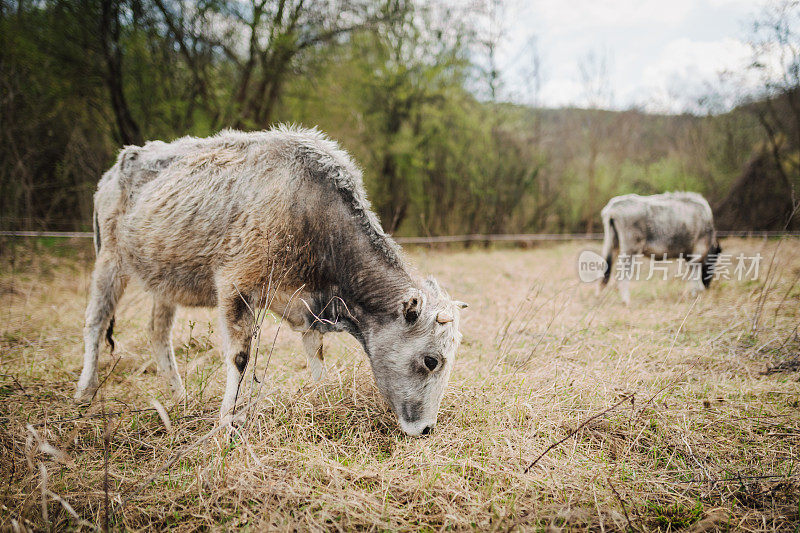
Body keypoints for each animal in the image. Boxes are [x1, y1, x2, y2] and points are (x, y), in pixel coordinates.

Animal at [73, 125, 468, 436]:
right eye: (431, 360)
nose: (427, 429)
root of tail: (120, 162)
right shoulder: (235, 284)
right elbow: (240, 357)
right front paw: (227, 422)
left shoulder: (307, 304)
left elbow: (316, 354)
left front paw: (322, 400)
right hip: (109, 259)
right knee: (95, 322)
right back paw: (85, 392)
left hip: (164, 277)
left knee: (157, 332)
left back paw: (179, 396)